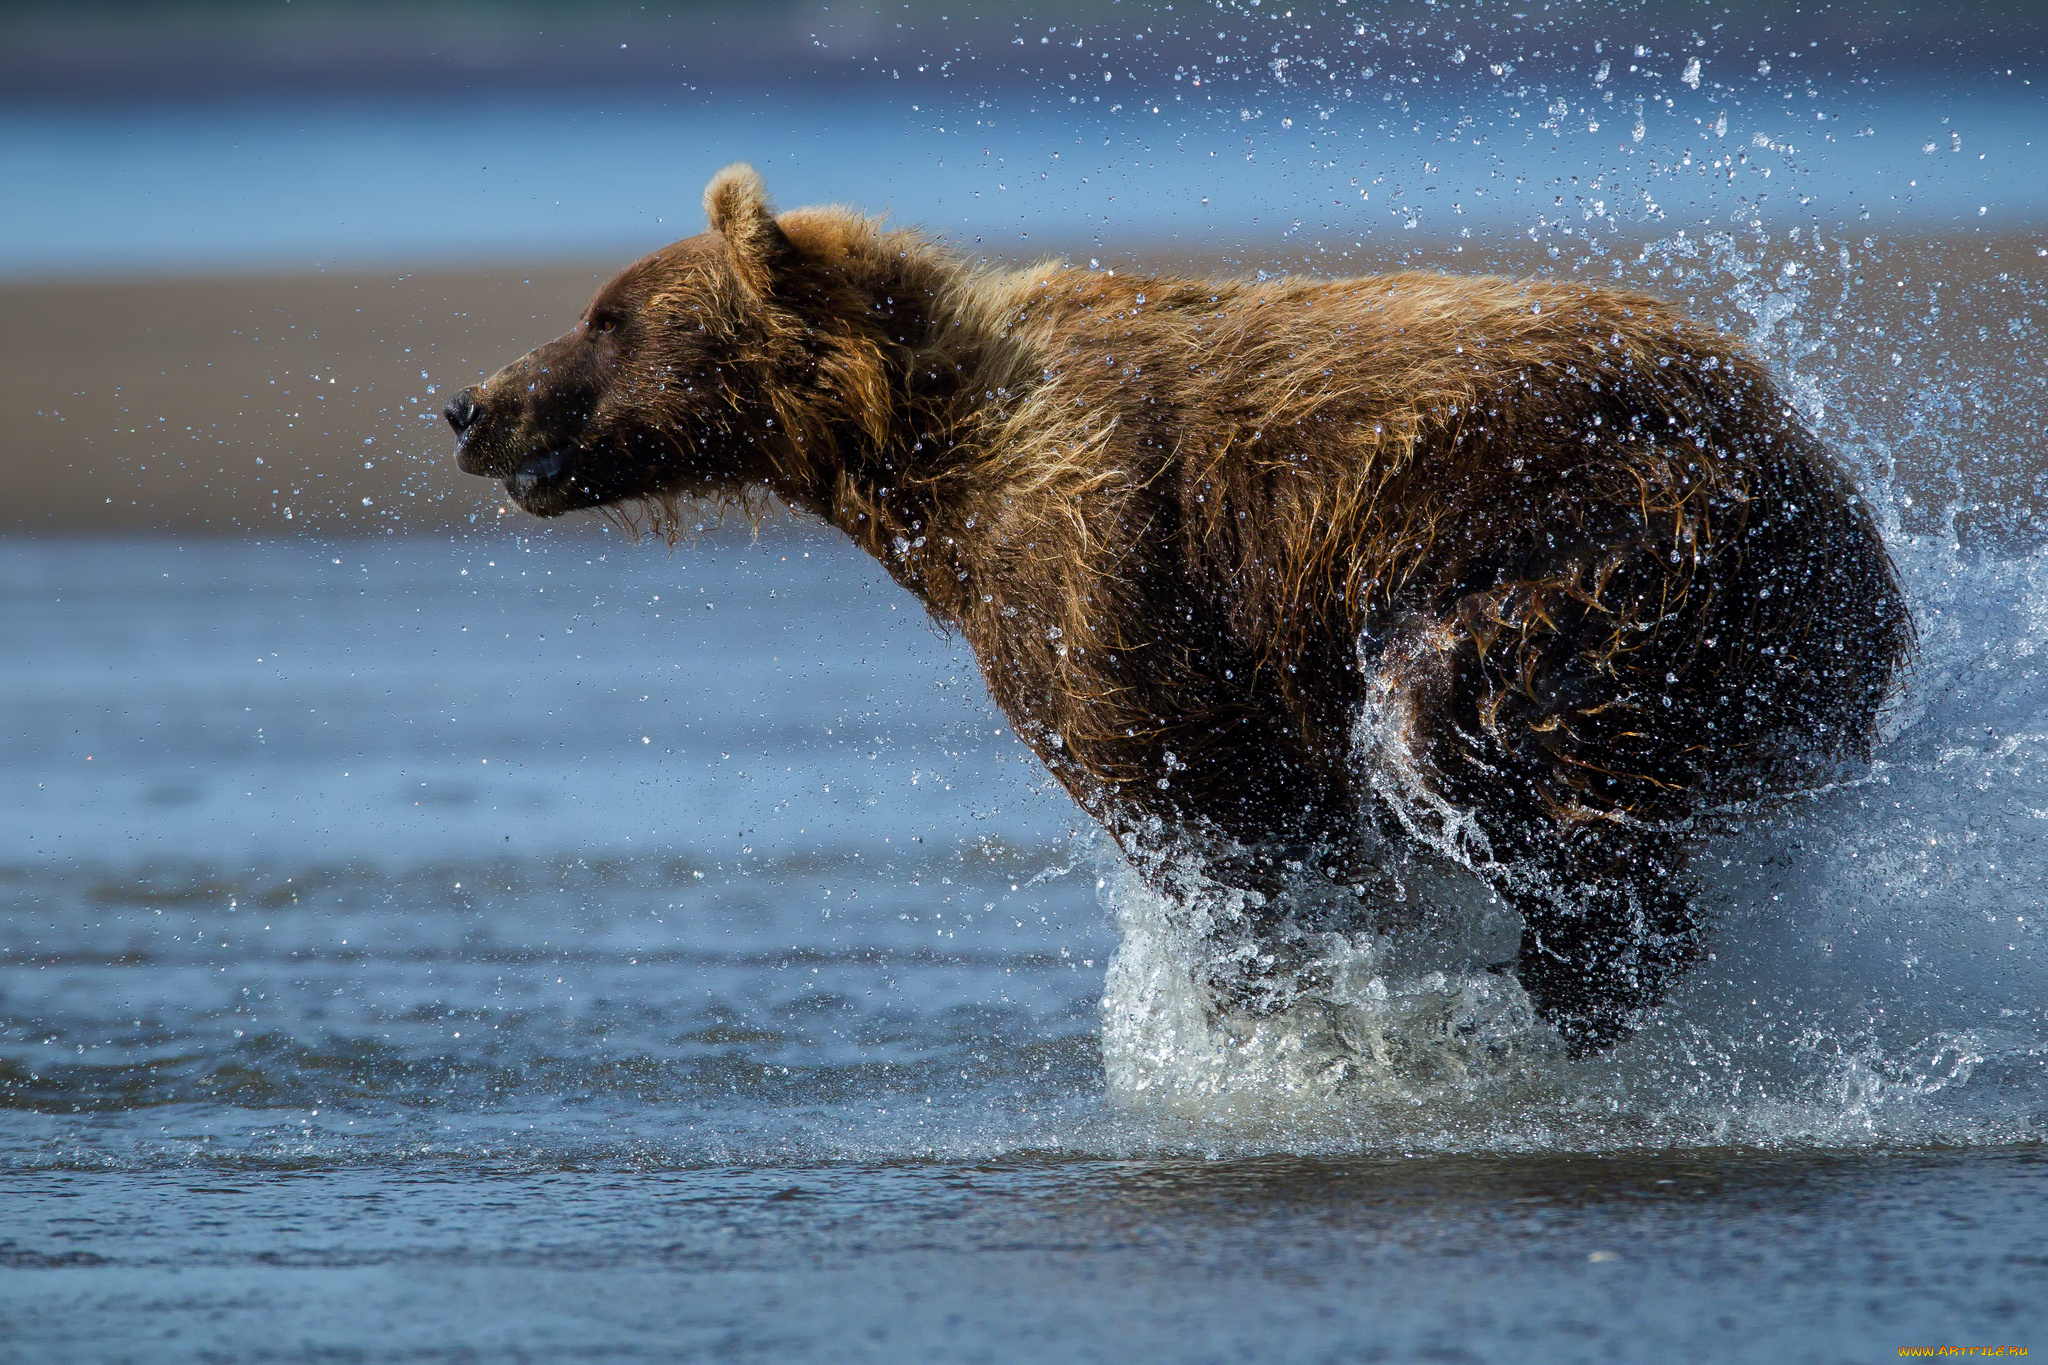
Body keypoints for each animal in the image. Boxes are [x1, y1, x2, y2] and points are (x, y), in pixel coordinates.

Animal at [440, 162, 1908, 1055]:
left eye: (608, 316)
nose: (467, 401)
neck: (923, 458)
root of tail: (1822, 476)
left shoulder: (1104, 572)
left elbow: (1205, 815)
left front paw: (1274, 1023)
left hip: (1610, 556)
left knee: (1466, 727)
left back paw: (1549, 982)